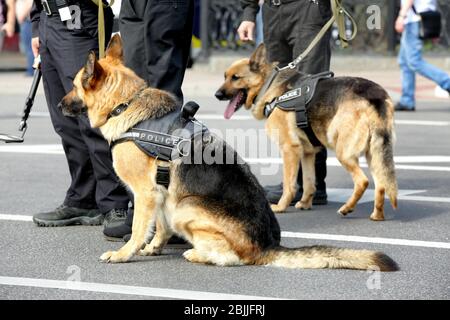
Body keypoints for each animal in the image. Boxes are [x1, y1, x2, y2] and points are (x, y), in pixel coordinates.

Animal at [216, 43, 400, 221]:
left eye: (235, 78)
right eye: (225, 76)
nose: (217, 95)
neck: (269, 85)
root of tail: (375, 95)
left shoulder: (290, 149)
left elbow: (289, 184)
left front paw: (281, 206)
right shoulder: (308, 153)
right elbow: (309, 182)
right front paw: (305, 203)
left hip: (343, 152)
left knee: (363, 181)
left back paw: (347, 208)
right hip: (373, 154)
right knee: (381, 185)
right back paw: (377, 215)